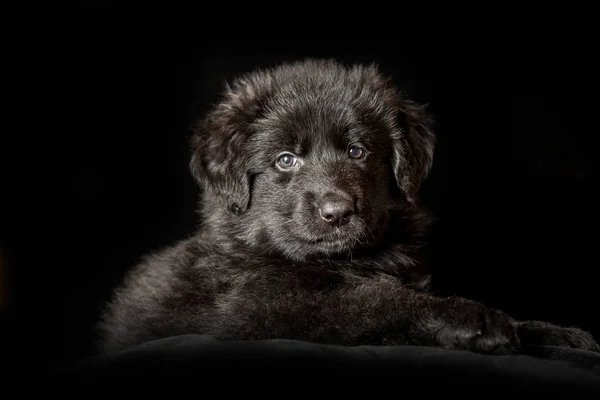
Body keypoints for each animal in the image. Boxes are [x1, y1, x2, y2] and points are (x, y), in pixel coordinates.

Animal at [96, 58, 596, 354]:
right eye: (285, 160)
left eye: (357, 152)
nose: (337, 212)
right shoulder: (265, 307)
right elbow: (377, 301)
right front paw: (472, 316)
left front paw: (554, 332)